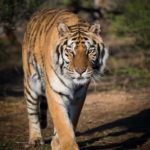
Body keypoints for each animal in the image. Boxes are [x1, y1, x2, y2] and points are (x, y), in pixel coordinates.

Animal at [22, 8, 108, 149]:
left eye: (90, 51)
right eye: (70, 51)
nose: (80, 71)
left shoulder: (79, 95)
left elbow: (71, 120)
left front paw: (57, 142)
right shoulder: (54, 91)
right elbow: (62, 122)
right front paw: (67, 146)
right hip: (31, 83)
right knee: (32, 112)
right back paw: (35, 138)